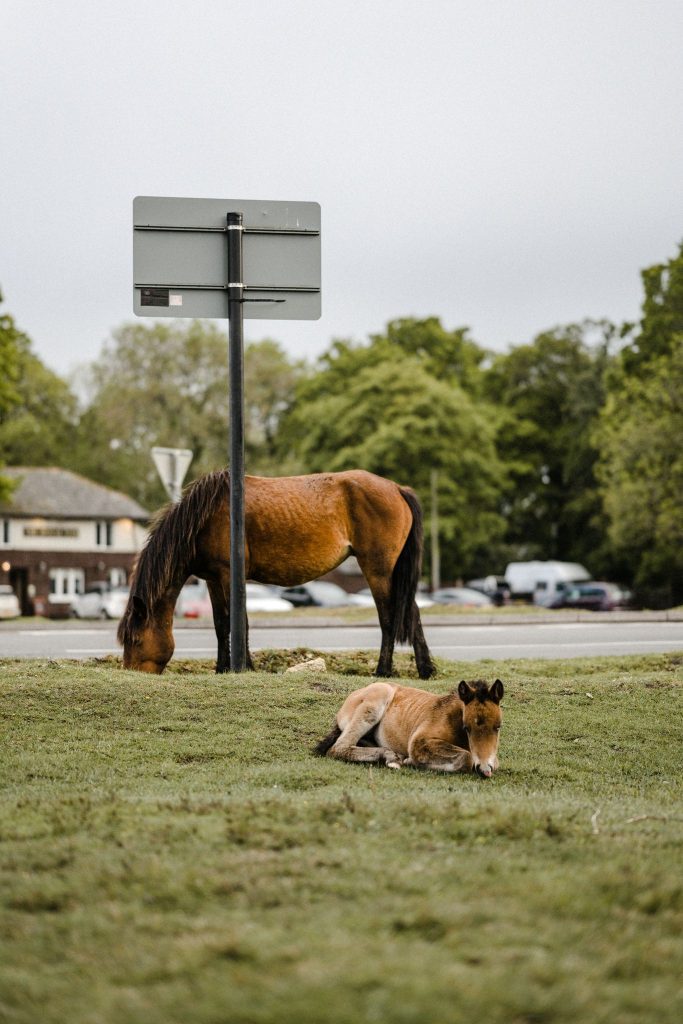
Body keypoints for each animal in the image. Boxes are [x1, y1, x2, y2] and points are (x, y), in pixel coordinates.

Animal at [118, 468, 436, 679]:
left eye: (135, 640)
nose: (132, 674)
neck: (205, 519)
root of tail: (397, 488)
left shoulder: (228, 576)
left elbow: (238, 622)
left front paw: (243, 666)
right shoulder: (212, 579)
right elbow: (221, 624)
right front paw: (223, 668)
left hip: (379, 569)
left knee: (389, 618)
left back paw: (383, 671)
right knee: (413, 613)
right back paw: (426, 670)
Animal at [314, 678, 504, 777]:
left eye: (498, 727)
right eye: (467, 728)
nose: (484, 770)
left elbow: (492, 761)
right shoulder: (419, 742)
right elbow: (467, 758)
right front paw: (411, 761)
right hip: (375, 701)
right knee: (339, 747)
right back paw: (392, 758)